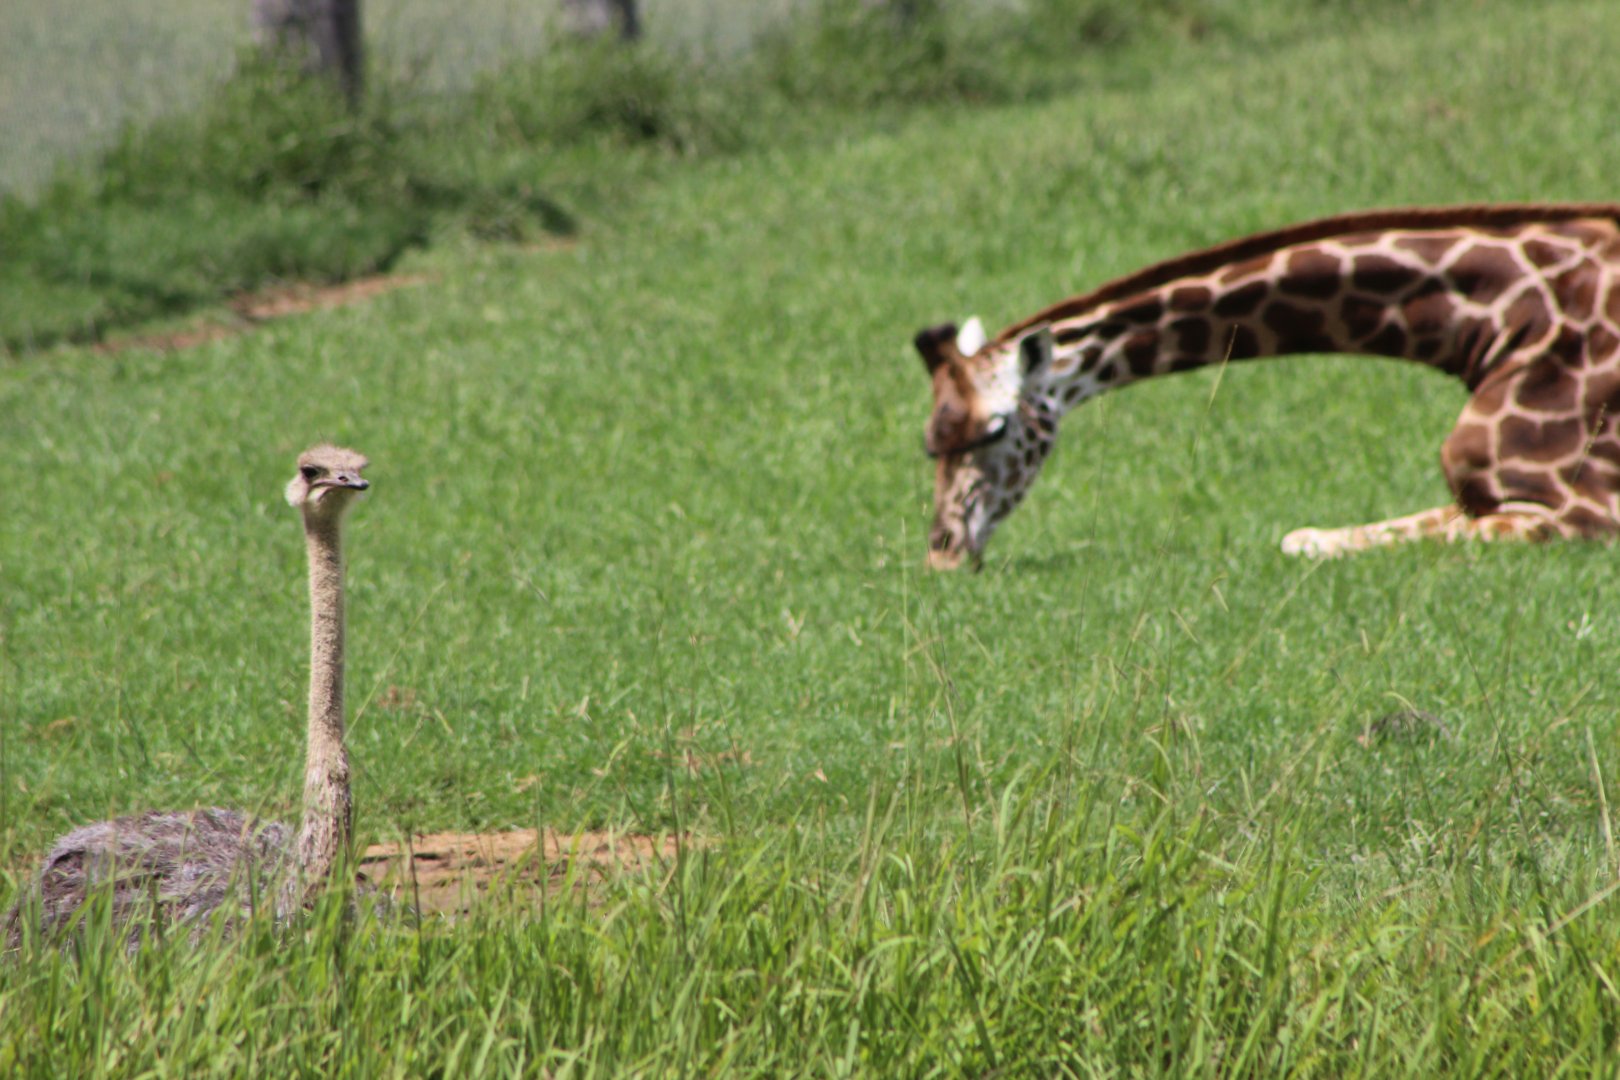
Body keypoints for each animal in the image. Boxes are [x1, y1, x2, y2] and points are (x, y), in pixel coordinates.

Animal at [913, 203, 1620, 569]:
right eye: (928, 443)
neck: (1500, 314)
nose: (943, 552)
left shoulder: (1578, 512)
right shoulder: (1484, 499)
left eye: (995, 429)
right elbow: (1303, 537)